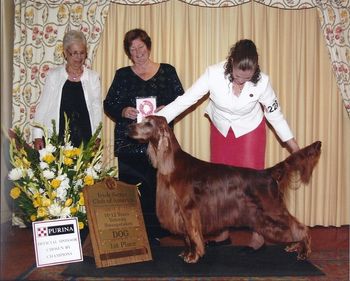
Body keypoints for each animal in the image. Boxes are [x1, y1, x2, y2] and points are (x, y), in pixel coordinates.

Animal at [127, 114, 322, 262]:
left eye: (148, 123)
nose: (129, 127)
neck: (172, 163)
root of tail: (267, 173)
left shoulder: (188, 209)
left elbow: (192, 233)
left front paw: (194, 256)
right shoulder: (179, 211)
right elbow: (187, 235)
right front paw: (187, 252)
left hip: (272, 209)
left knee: (300, 227)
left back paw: (304, 250)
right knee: (294, 227)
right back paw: (296, 245)